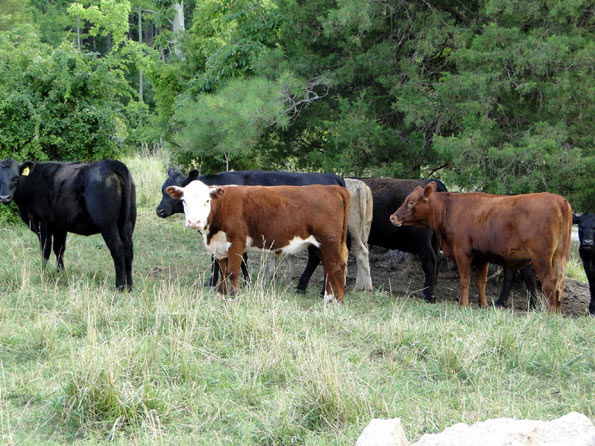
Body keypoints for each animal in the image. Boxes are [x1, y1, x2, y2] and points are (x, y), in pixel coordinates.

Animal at [0, 159, 136, 290]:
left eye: (16, 177)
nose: (4, 198)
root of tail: (112, 163)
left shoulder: (43, 223)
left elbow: (45, 250)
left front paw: (44, 274)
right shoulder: (60, 226)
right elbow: (59, 249)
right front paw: (61, 274)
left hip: (107, 223)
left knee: (117, 248)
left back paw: (119, 287)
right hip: (127, 223)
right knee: (128, 248)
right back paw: (129, 286)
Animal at [156, 166, 346, 290]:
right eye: (163, 190)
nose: (160, 210)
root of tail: (332, 178)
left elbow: (232, 258)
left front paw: (221, 283)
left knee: (318, 257)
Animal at [392, 181, 572, 314]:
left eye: (411, 202)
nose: (393, 217)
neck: (452, 209)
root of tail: (559, 200)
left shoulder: (462, 252)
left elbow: (465, 280)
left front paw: (463, 305)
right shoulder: (482, 256)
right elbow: (481, 281)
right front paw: (483, 304)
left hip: (541, 257)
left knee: (550, 282)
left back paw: (549, 314)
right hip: (559, 256)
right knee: (560, 283)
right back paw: (558, 314)